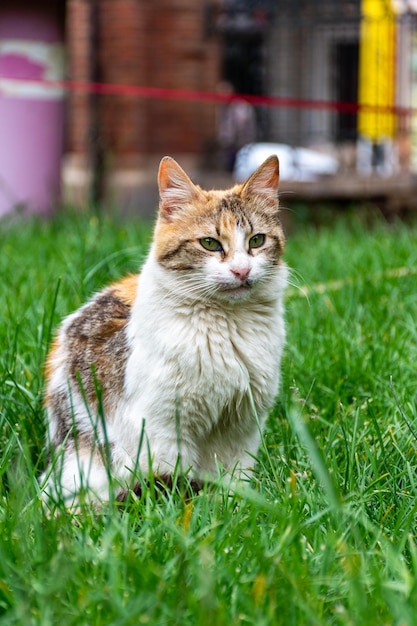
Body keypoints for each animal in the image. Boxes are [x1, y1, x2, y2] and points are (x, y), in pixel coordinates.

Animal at [40, 154, 288, 504]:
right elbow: (171, 476)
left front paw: (232, 503)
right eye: (210, 243)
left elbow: (235, 476)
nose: (242, 271)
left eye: (257, 241)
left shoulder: (242, 424)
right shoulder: (161, 425)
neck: (225, 326)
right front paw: (180, 506)